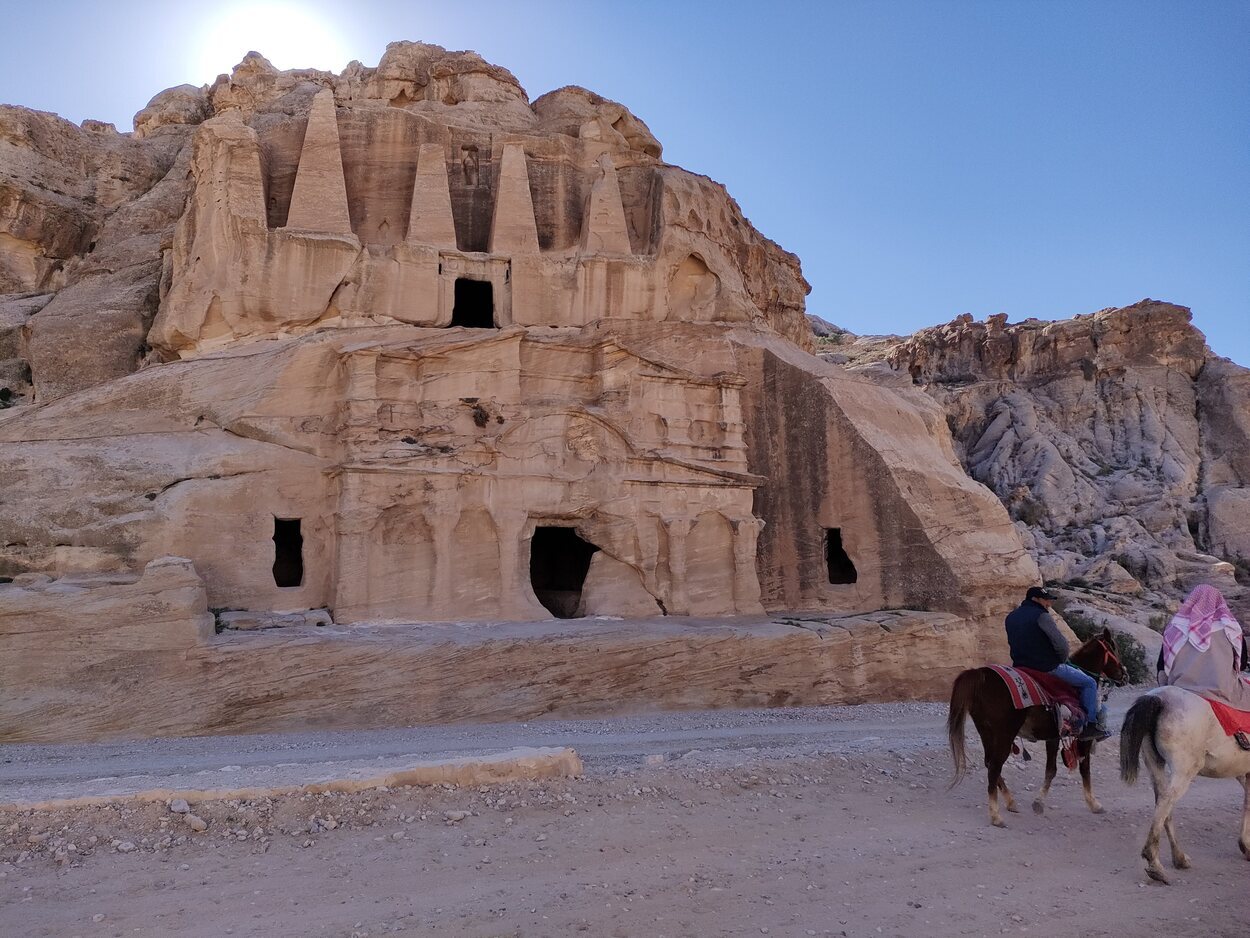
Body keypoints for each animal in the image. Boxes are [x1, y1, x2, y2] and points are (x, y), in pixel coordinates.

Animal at [945, 635, 1135, 825]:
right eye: (1115, 648)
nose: (1125, 675)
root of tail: (981, 674)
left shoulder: (1053, 737)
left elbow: (1050, 770)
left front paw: (1039, 802)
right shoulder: (1084, 739)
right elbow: (1084, 769)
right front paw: (1094, 804)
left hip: (986, 731)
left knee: (989, 762)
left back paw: (1011, 802)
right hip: (1004, 735)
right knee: (994, 766)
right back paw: (996, 815)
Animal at [1120, 685, 1250, 885]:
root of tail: (1159, 698)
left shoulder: (1244, 773)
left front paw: (1245, 846)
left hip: (1154, 761)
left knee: (1162, 800)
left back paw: (1179, 858)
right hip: (1185, 769)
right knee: (1167, 799)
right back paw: (1155, 864)